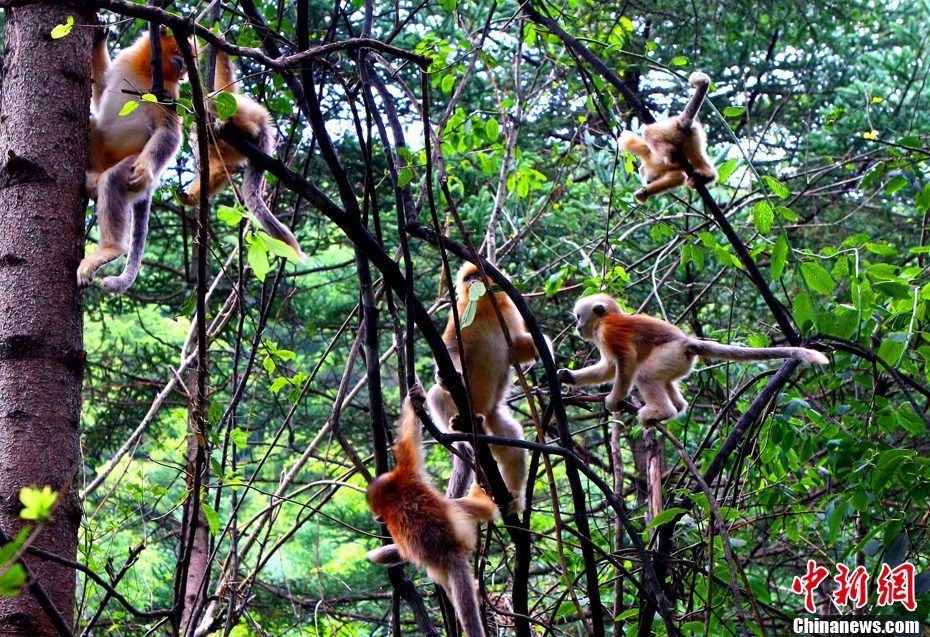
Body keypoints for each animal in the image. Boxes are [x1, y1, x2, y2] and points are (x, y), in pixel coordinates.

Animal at [81, 25, 187, 294]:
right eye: (179, 53)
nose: (183, 69)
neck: (145, 71)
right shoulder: (125, 61)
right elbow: (101, 90)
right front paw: (100, 37)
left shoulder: (166, 94)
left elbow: (168, 132)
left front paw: (145, 170)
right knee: (92, 124)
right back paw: (93, 180)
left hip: (131, 163)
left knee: (112, 180)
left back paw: (109, 250)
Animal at [364, 392, 500, 636]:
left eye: (378, 513)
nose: (378, 518)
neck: (392, 495)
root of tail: (449, 549)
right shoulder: (407, 475)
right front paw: (414, 397)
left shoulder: (405, 473)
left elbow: (407, 437)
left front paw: (412, 400)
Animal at [560, 294, 828, 422]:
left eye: (579, 316)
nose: (578, 327)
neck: (606, 320)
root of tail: (686, 342)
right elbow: (607, 368)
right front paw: (568, 376)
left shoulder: (609, 332)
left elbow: (625, 362)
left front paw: (615, 399)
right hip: (678, 361)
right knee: (664, 380)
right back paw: (677, 408)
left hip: (670, 353)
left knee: (644, 375)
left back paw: (663, 412)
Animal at [624, 71, 716, 201]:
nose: (646, 182)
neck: (652, 165)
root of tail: (680, 122)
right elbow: (677, 177)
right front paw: (644, 193)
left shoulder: (644, 151)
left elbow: (627, 139)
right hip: (694, 138)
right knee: (697, 156)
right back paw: (707, 176)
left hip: (668, 129)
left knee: (648, 132)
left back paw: (669, 151)